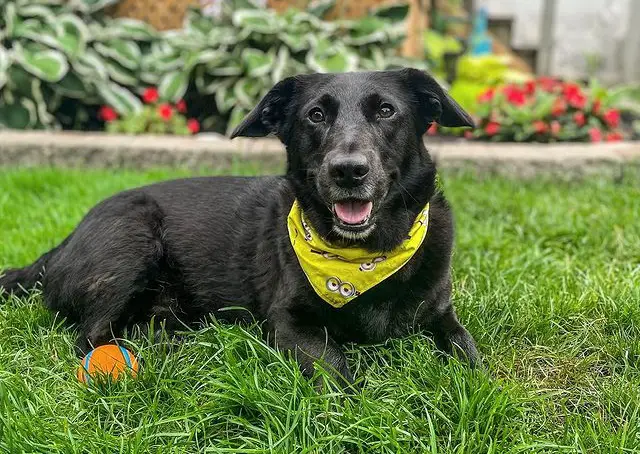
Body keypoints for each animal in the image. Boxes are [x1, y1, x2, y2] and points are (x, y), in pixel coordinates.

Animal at [0, 69, 478, 384]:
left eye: (386, 111)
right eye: (316, 115)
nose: (348, 171)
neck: (363, 257)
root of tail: (61, 246)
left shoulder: (442, 316)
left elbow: (469, 356)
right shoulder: (290, 324)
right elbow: (336, 370)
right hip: (132, 239)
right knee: (92, 338)